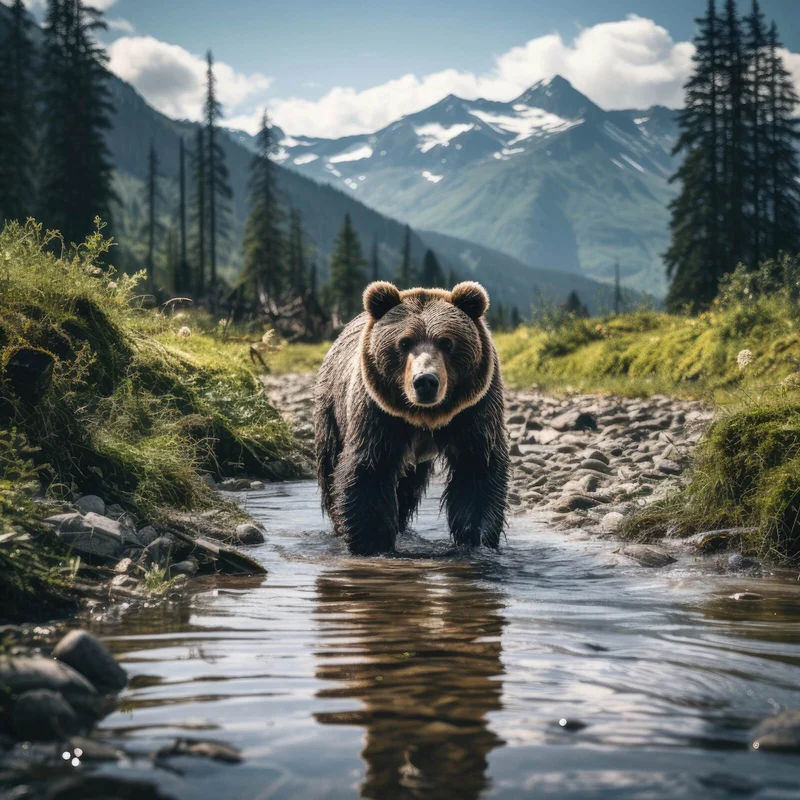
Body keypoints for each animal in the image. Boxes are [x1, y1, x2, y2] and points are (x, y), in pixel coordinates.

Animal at [314, 280, 509, 556]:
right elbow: (369, 470)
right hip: (332, 408)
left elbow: (477, 471)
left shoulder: (475, 410)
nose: (425, 381)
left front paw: (478, 541)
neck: (425, 417)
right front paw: (372, 544)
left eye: (447, 342)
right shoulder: (378, 413)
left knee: (407, 486)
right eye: (404, 342)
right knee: (330, 466)